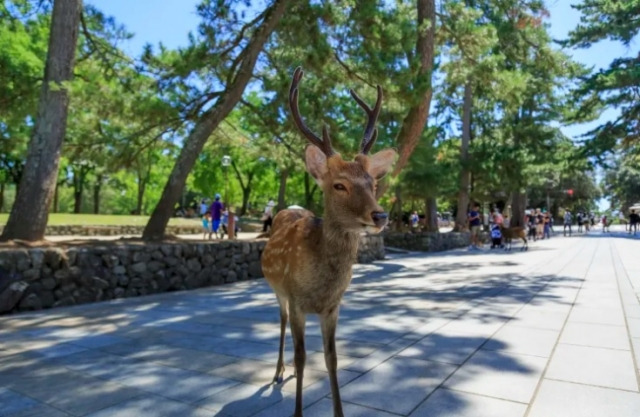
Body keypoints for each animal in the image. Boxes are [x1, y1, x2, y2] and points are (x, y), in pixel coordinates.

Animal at [260, 66, 396, 414]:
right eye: (339, 185)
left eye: (373, 183)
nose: (380, 215)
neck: (320, 285)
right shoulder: (296, 299)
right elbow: (302, 356)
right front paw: (296, 411)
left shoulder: (333, 306)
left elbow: (332, 359)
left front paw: (339, 412)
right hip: (278, 290)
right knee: (281, 322)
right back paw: (278, 371)